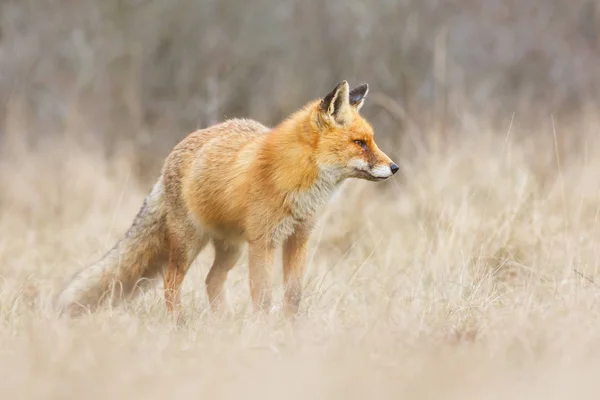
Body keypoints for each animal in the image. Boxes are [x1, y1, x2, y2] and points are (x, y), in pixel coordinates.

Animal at [57, 80, 398, 318]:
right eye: (360, 143)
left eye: (371, 141)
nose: (395, 167)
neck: (297, 179)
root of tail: (173, 154)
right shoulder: (264, 242)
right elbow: (263, 296)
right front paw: (263, 329)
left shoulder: (299, 238)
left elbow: (293, 295)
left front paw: (290, 329)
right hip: (189, 244)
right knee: (171, 283)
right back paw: (179, 324)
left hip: (231, 249)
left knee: (211, 281)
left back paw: (222, 322)